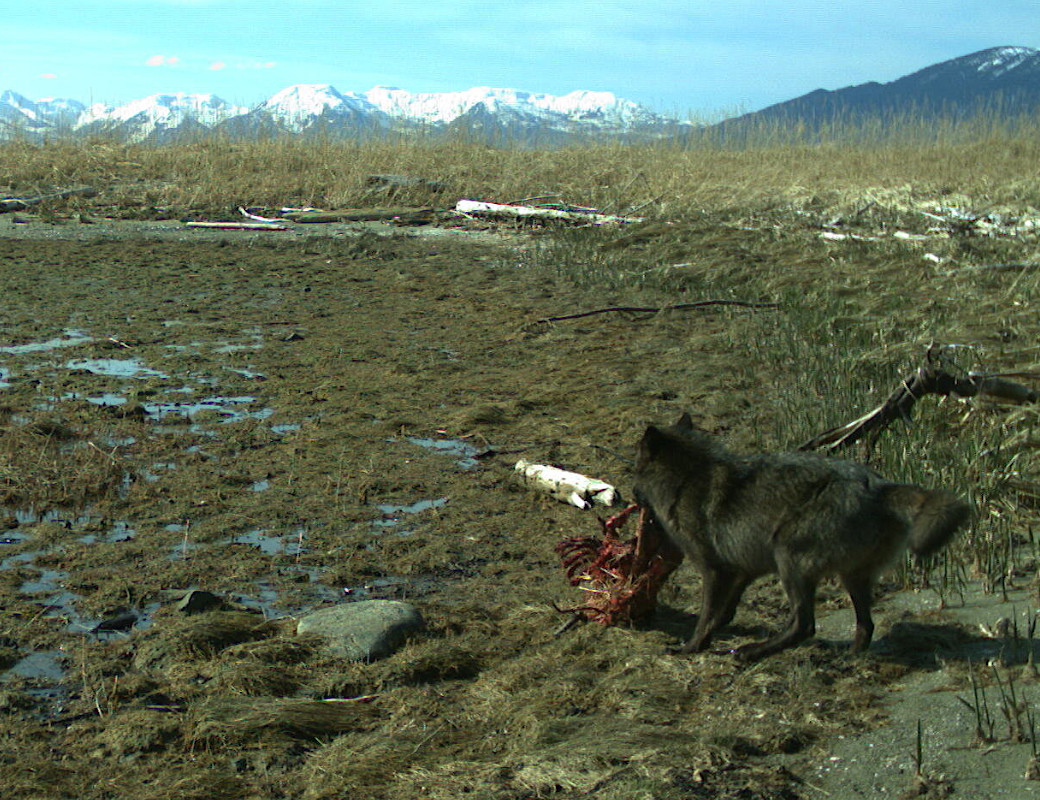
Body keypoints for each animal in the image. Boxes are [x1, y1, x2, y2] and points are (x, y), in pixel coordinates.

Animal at [628, 416, 969, 657]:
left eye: (634, 471)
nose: (629, 495)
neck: (686, 478)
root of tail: (879, 486)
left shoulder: (715, 571)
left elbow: (705, 616)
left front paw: (690, 647)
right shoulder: (743, 570)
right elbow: (723, 612)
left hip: (788, 560)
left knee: (805, 625)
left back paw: (752, 653)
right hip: (850, 578)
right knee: (864, 624)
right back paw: (849, 659)